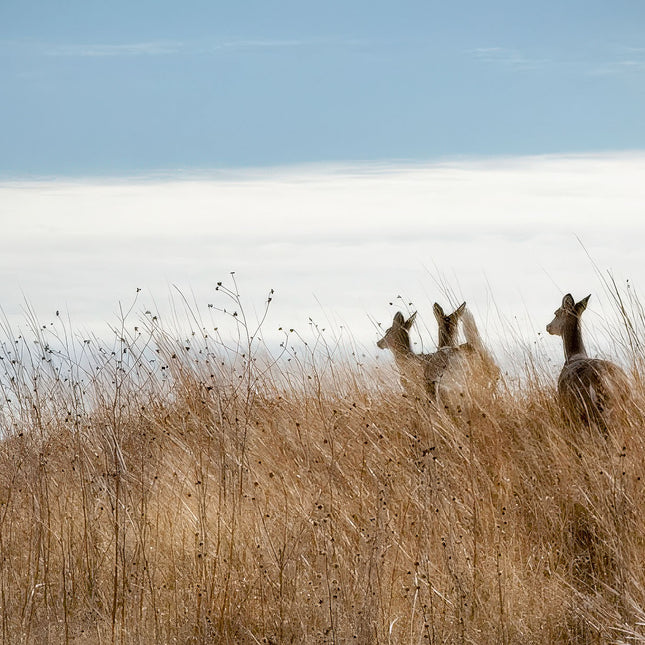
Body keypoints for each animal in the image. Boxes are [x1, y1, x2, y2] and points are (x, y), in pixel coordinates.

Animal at [544, 294, 628, 430]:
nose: (548, 326)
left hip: (586, 407)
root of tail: (601, 378)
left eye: (556, 313)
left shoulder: (564, 406)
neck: (573, 355)